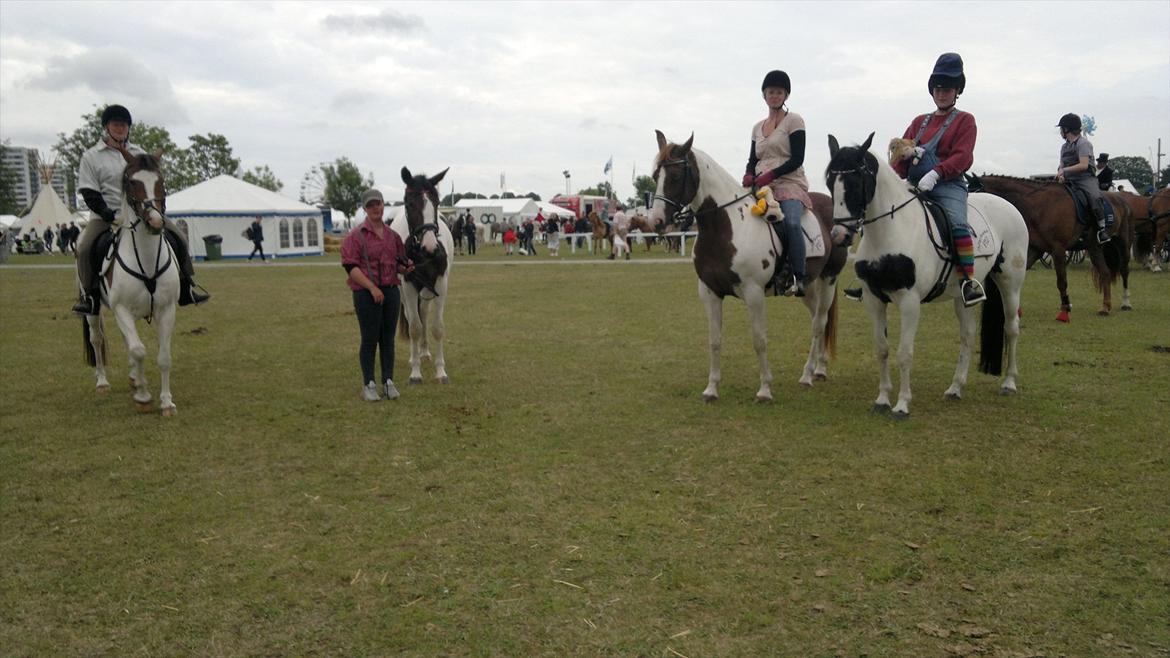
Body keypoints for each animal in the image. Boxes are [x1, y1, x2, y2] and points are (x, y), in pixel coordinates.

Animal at [80, 151, 180, 412]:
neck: (146, 259)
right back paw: (103, 382)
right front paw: (143, 397)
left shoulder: (166, 309)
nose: (155, 222)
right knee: (97, 339)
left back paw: (135, 378)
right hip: (93, 310)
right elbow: (139, 350)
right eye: (132, 182)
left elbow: (164, 357)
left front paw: (167, 402)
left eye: (161, 181)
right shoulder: (122, 309)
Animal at [388, 165, 451, 384]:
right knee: (412, 316)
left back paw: (424, 352)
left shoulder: (440, 284)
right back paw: (414, 357)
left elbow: (438, 328)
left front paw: (441, 371)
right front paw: (415, 373)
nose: (430, 247)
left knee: (423, 312)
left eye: (437, 202)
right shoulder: (408, 285)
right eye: (410, 203)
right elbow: (414, 327)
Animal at [650, 130, 851, 402]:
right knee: (818, 319)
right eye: (654, 176)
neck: (727, 227)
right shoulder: (709, 293)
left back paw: (807, 375)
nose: (656, 221)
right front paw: (711, 389)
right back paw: (819, 368)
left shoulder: (754, 293)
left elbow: (759, 340)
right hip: (807, 286)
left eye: (676, 176)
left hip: (829, 277)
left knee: (819, 323)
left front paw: (765, 389)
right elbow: (714, 340)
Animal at [828, 134, 1029, 414]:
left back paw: (1009, 382)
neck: (890, 230)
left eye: (856, 182)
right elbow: (882, 349)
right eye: (829, 183)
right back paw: (955, 388)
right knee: (967, 335)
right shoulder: (873, 299)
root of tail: (1009, 206)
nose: (839, 236)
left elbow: (904, 353)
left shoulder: (909, 302)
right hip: (963, 294)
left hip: (1010, 283)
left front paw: (901, 405)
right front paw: (882, 399)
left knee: (1011, 328)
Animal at [973, 173, 1127, 318]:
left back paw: (1125, 304)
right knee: (1105, 272)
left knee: (1123, 270)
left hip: (1122, 243)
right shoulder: (1037, 249)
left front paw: (1065, 310)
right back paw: (1105, 307)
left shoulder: (1058, 249)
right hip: (1094, 247)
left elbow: (1061, 281)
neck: (1039, 205)